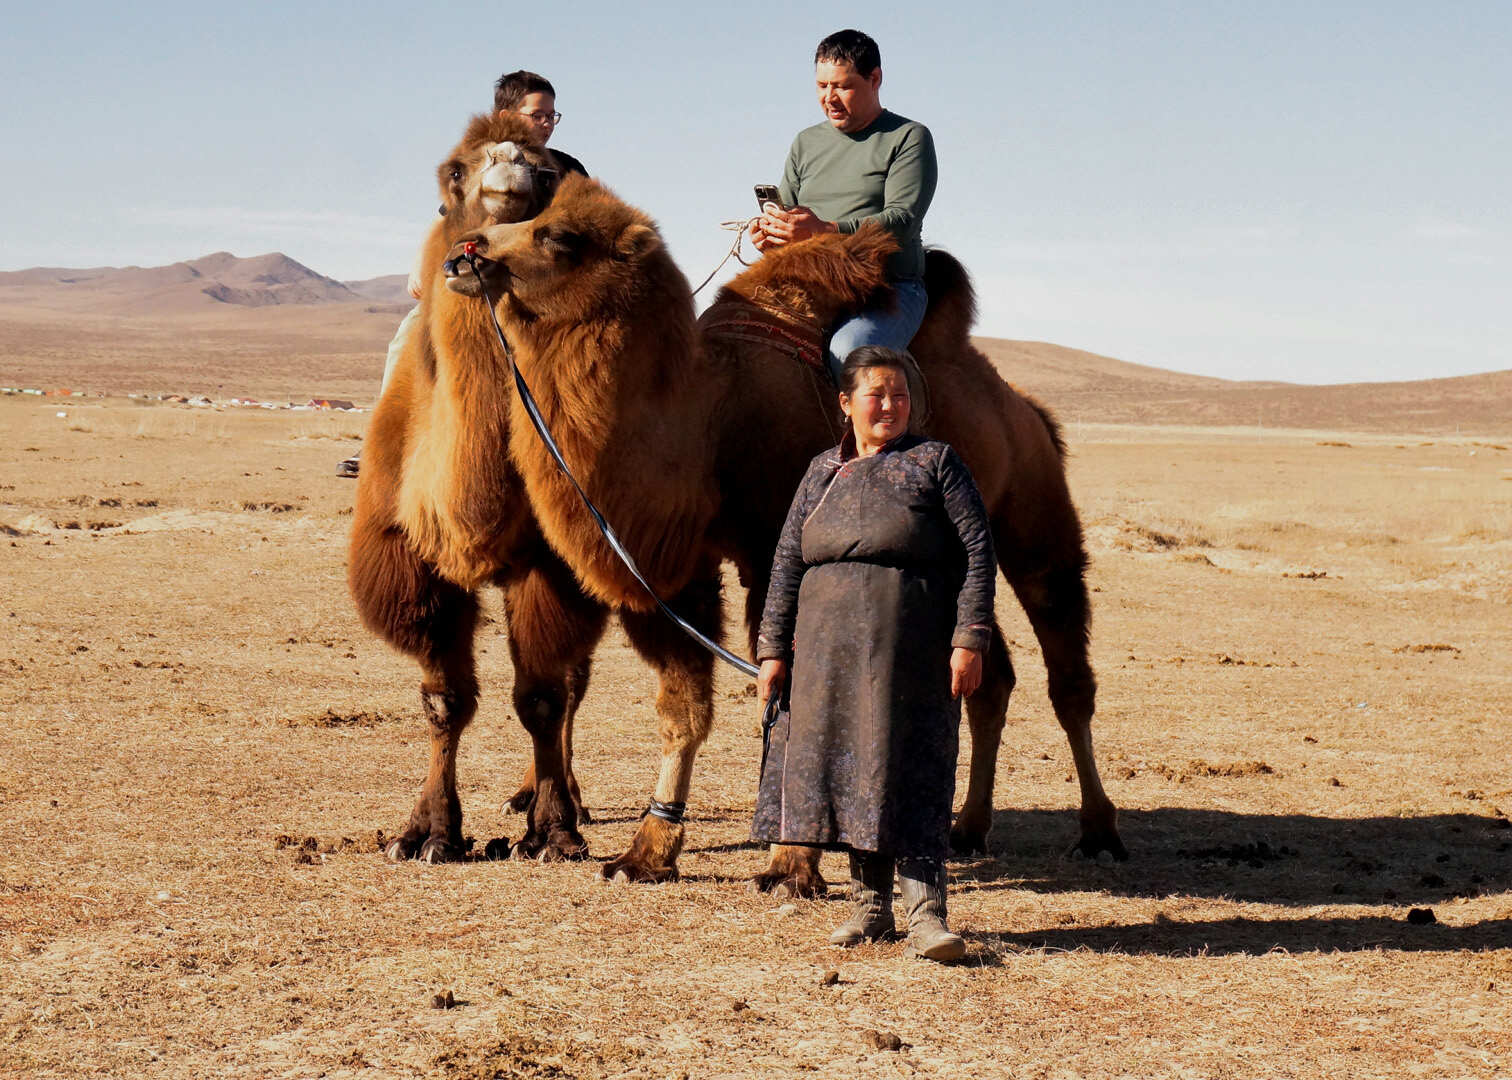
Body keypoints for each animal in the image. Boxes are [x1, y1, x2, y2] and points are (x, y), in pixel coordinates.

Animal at [350, 113, 610, 865]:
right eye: (453, 177)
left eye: (550, 172)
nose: (510, 160)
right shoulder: (414, 562)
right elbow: (445, 701)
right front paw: (429, 832)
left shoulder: (551, 564)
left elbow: (542, 698)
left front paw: (554, 831)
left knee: (573, 684)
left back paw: (563, 798)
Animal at [447, 174, 1124, 883]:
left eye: (558, 236)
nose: (467, 251)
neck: (708, 416)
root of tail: (1029, 410)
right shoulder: (678, 568)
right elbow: (683, 708)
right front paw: (647, 852)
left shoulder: (782, 549)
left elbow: (795, 691)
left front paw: (792, 863)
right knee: (986, 676)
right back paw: (966, 828)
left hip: (1035, 522)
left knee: (1067, 668)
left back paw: (1098, 832)